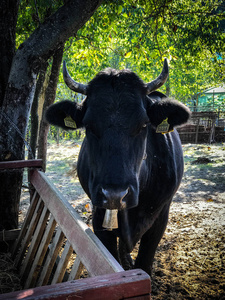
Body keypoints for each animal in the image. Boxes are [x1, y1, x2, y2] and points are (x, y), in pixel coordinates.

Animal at [46, 59, 190, 276]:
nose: (115, 195)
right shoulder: (99, 214)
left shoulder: (161, 216)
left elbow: (145, 261)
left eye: (143, 124)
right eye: (89, 126)